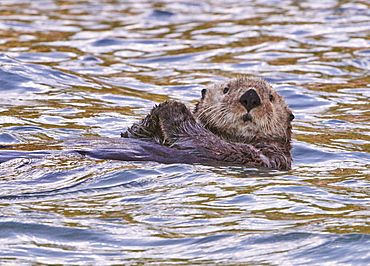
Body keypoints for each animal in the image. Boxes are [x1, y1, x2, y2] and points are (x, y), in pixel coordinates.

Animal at [121, 76, 294, 169]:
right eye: (226, 89)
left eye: (271, 98)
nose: (251, 97)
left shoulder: (261, 155)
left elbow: (206, 141)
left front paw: (173, 107)